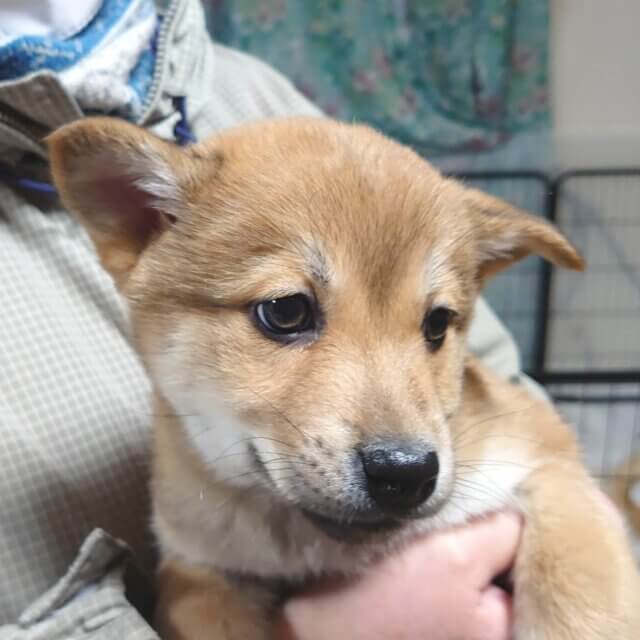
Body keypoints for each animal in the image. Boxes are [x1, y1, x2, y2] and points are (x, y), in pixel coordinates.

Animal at [48, 116, 640, 639]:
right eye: (285, 311)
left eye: (437, 324)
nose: (406, 473)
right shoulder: (201, 566)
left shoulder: (547, 461)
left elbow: (581, 597)